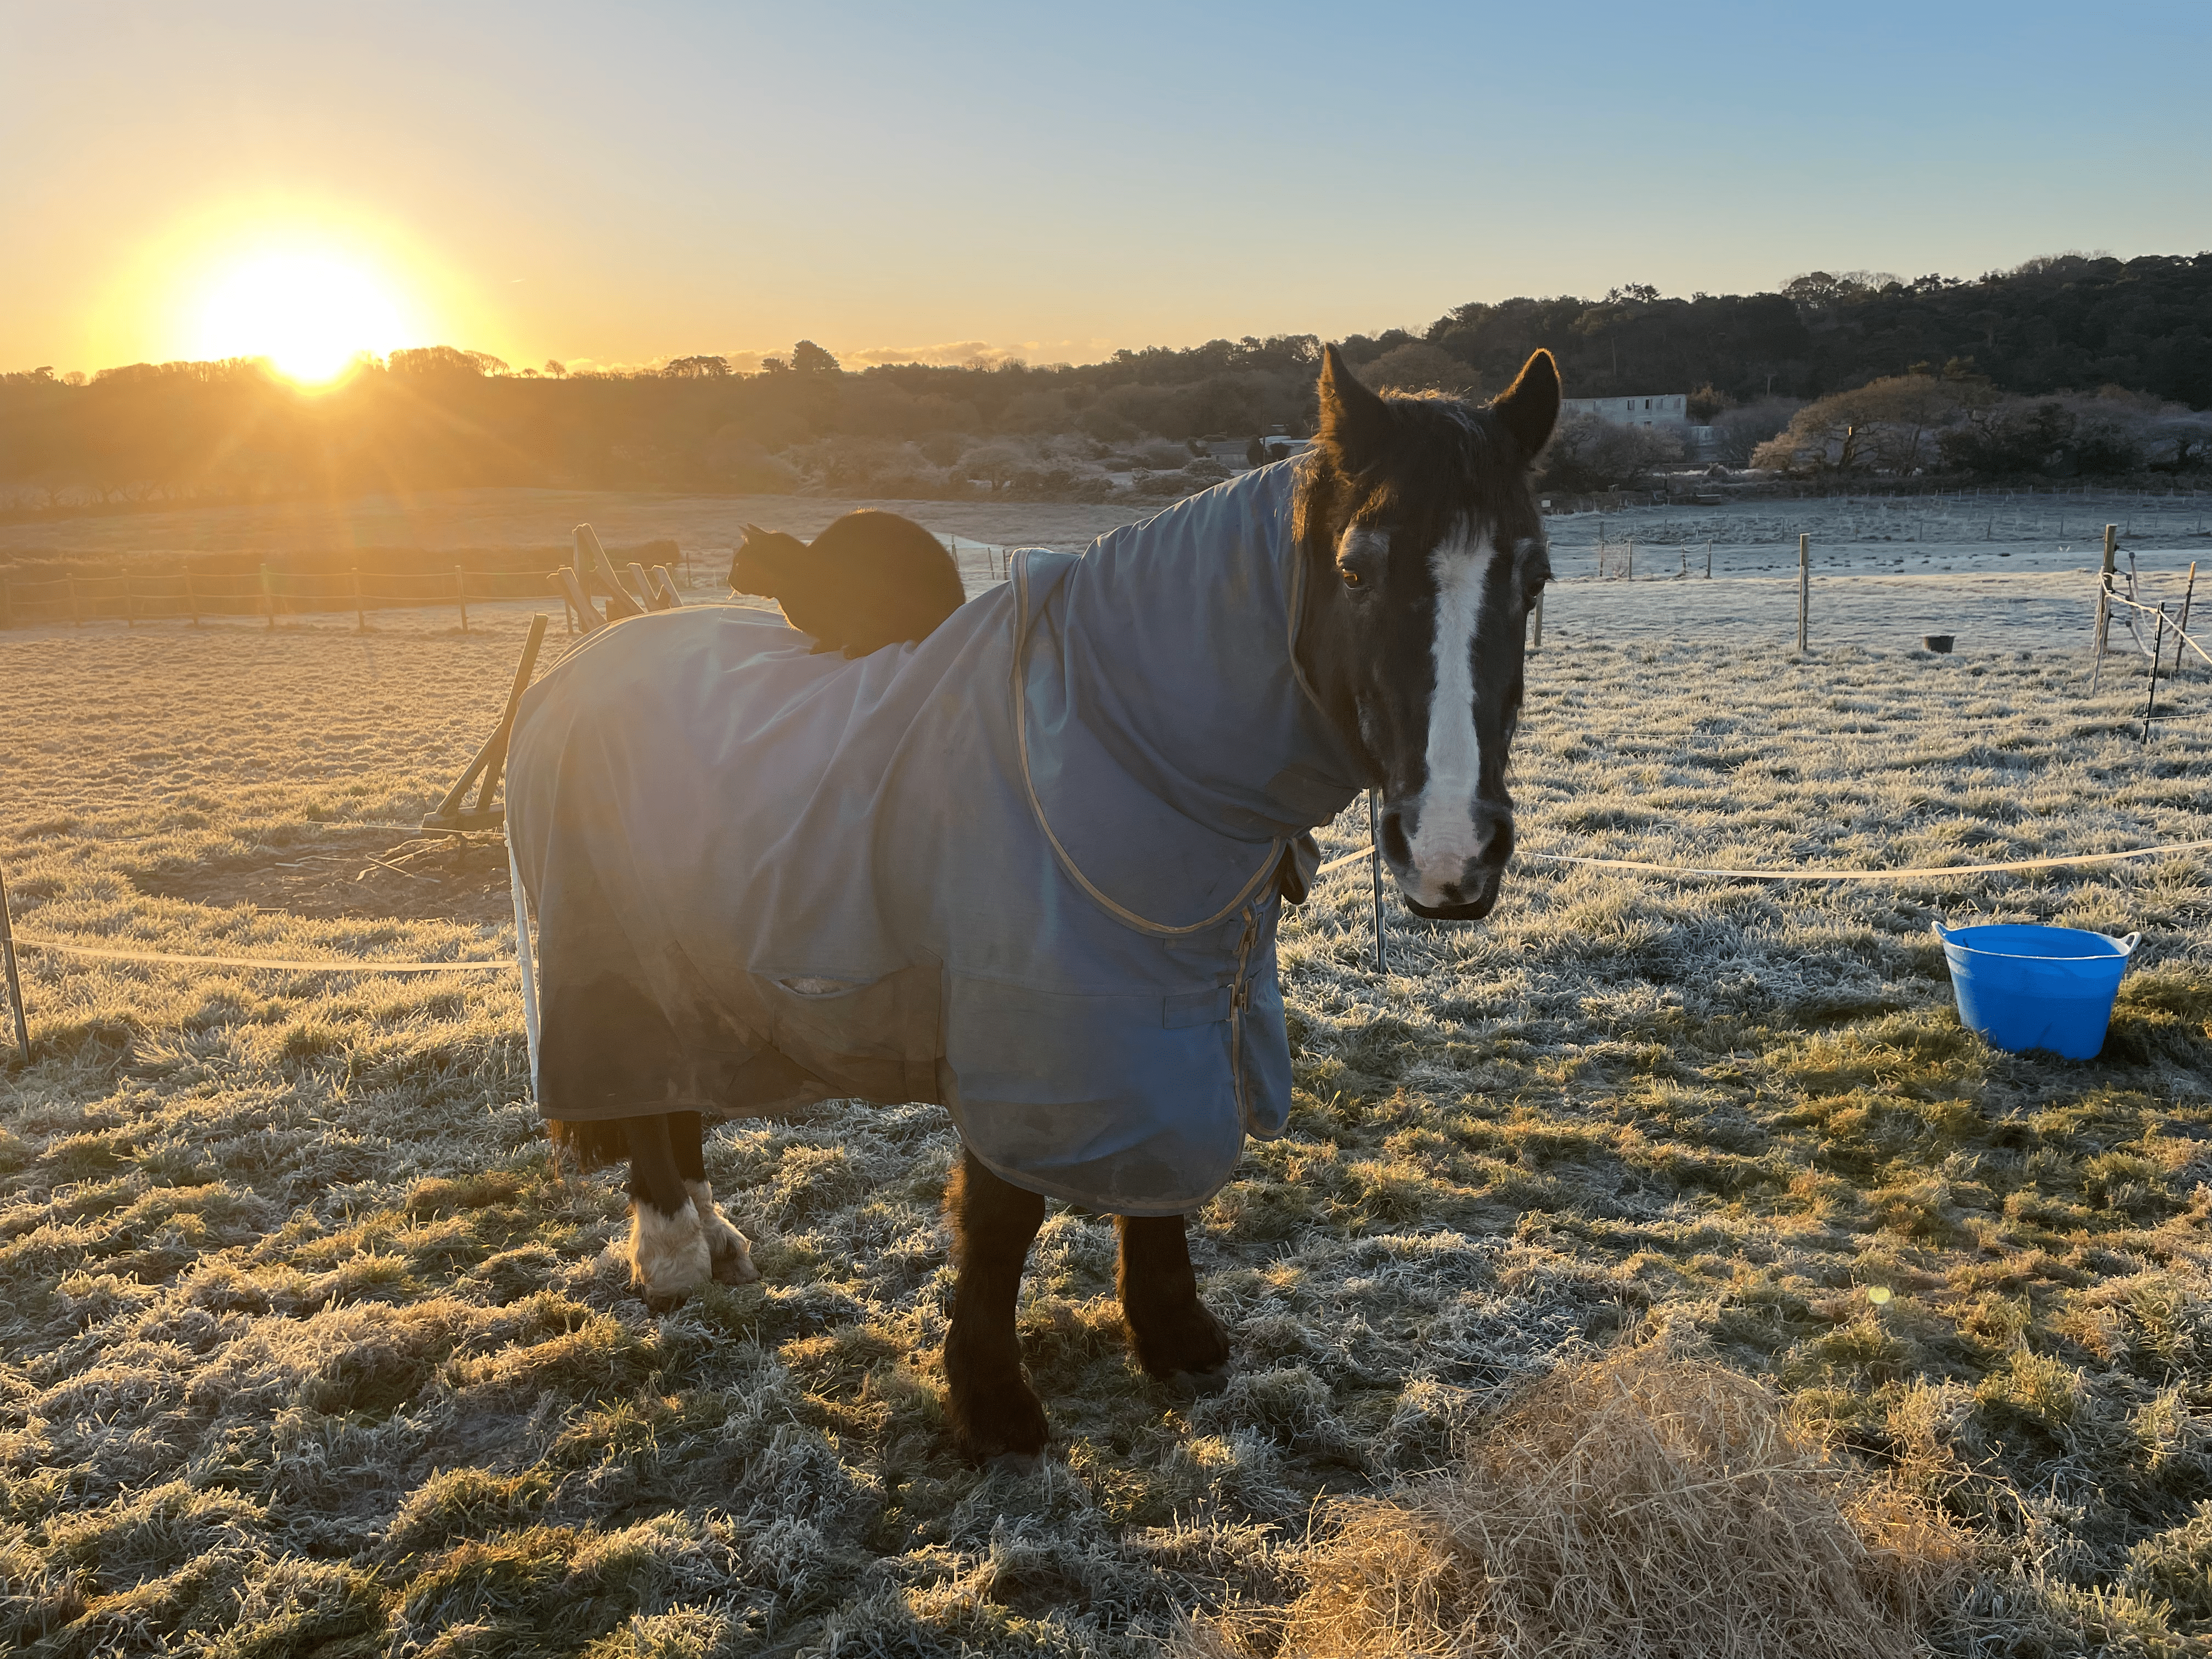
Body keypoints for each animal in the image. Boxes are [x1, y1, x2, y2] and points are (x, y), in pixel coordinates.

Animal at [505, 343, 1559, 1463]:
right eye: (1356, 570)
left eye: (1532, 577)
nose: (1451, 848)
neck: (1116, 748)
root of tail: (570, 673)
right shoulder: (1023, 1028)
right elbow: (1002, 1215)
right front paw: (991, 1399)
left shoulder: (1172, 1011)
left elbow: (1162, 1165)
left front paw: (1172, 1333)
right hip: (610, 959)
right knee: (644, 1106)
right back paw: (669, 1256)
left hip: (690, 970)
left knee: (675, 1096)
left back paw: (714, 1242)